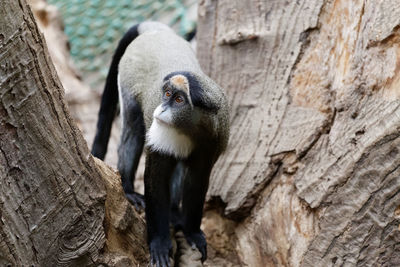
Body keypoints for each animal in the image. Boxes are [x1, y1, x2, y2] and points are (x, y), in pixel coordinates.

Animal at [91, 21, 228, 267]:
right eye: (166, 94)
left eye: (179, 99)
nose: (162, 109)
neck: (189, 129)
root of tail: (154, 29)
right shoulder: (159, 136)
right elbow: (156, 179)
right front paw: (160, 244)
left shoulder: (215, 140)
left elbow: (197, 181)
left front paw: (192, 232)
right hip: (128, 81)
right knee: (133, 129)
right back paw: (128, 189)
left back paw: (174, 212)